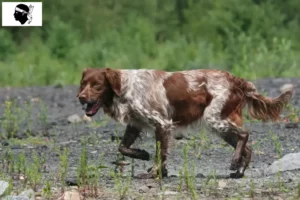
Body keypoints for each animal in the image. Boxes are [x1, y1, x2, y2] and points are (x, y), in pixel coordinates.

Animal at [76, 67, 294, 178]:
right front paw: (143, 155)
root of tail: (235, 79)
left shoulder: (162, 123)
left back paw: (234, 163)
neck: (124, 87)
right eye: (82, 84)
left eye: (97, 85)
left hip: (215, 119)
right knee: (246, 146)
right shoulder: (136, 124)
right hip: (220, 126)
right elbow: (123, 147)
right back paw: (239, 170)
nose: (80, 97)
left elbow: (160, 153)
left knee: (244, 134)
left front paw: (156, 171)